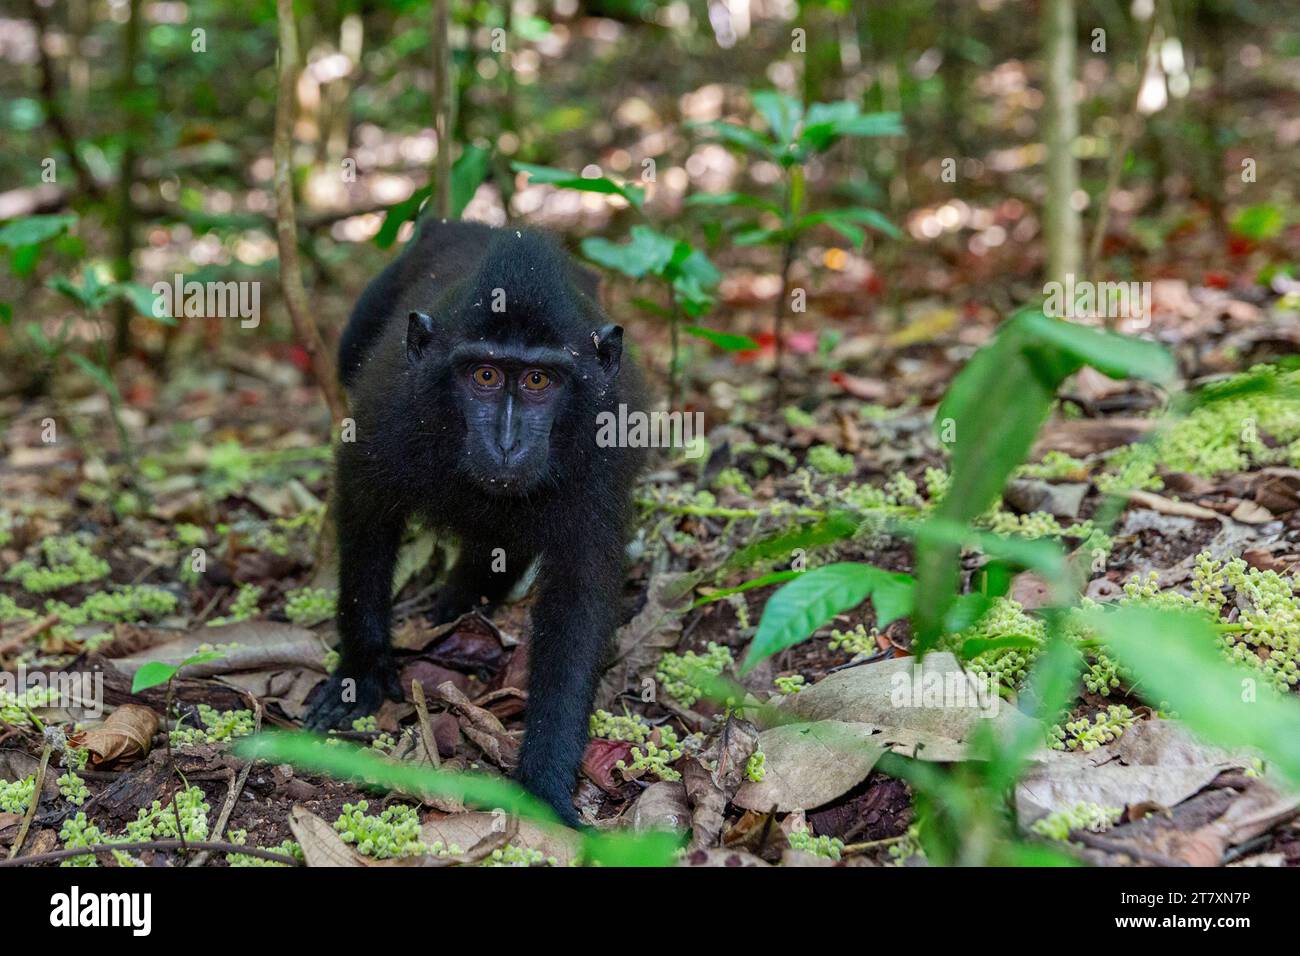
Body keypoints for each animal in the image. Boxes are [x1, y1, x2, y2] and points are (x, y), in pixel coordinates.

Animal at [305, 219, 645, 826]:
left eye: (538, 381)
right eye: (484, 374)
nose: (507, 444)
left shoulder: (602, 454)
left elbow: (579, 596)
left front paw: (545, 779)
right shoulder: (391, 416)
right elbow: (365, 514)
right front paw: (361, 668)